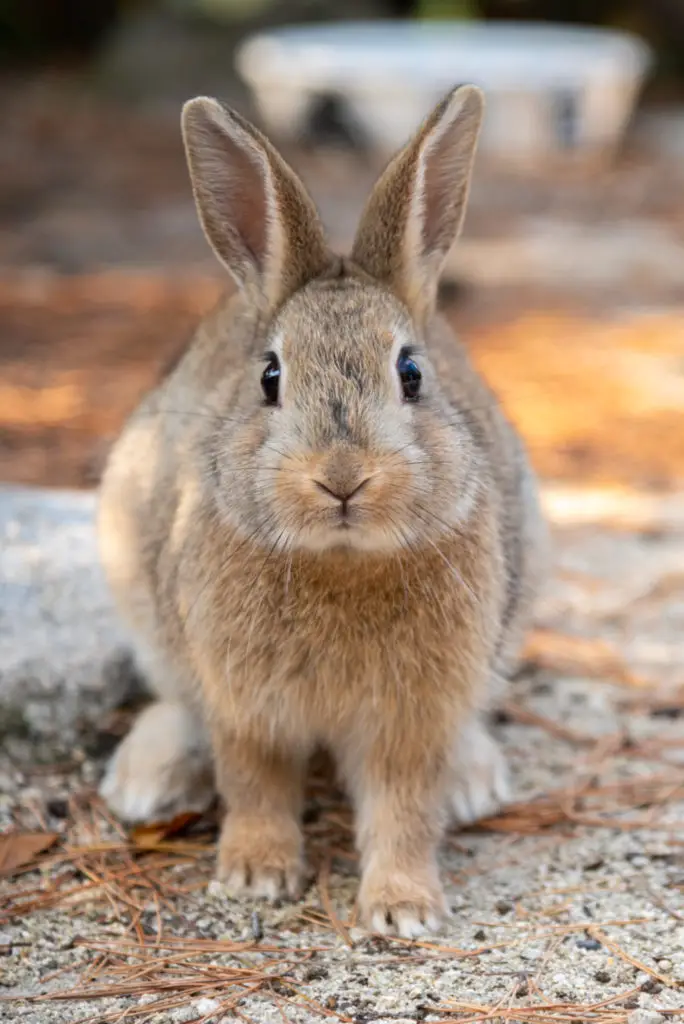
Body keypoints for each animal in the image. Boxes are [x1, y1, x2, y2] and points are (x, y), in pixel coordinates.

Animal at [97, 86, 544, 937]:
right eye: (270, 377)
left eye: (411, 373)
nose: (341, 478)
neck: (341, 564)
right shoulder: (246, 708)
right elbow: (255, 786)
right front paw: (254, 875)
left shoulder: (412, 718)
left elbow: (404, 811)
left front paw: (404, 910)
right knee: (171, 699)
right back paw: (144, 783)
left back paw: (473, 783)